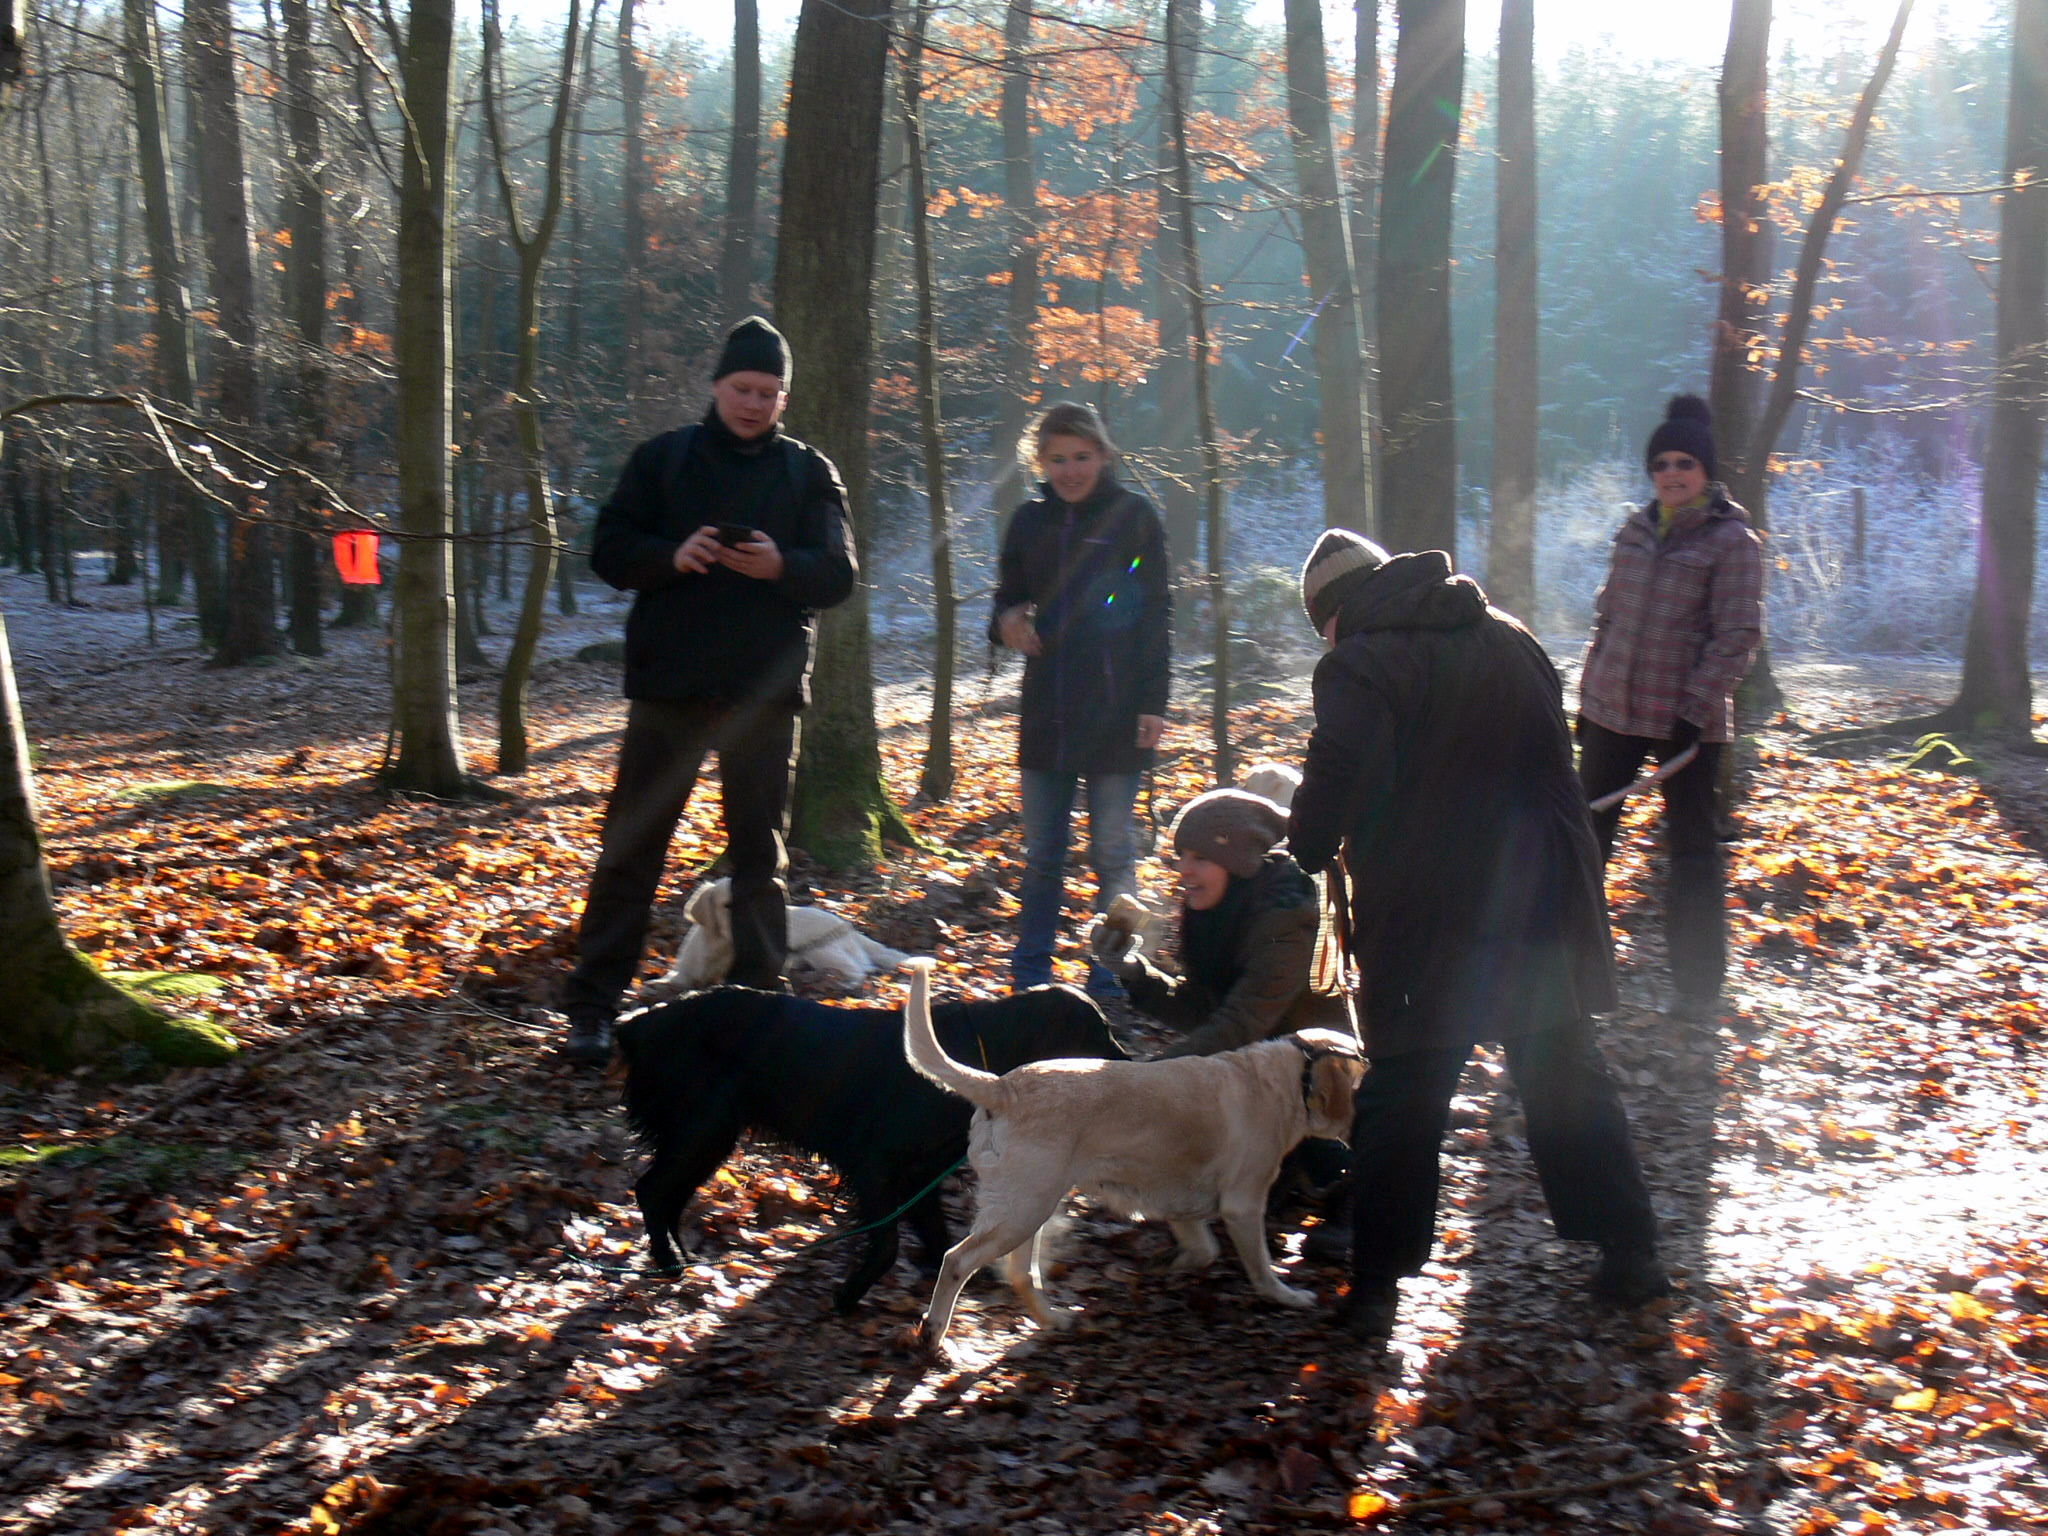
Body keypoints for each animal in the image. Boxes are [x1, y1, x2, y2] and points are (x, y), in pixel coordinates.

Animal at [610, 987, 1122, 1310]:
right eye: (1097, 1032)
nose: (1130, 1063)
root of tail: (639, 1023)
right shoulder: (876, 1165)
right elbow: (888, 1243)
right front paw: (850, 1294)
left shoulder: (918, 1175)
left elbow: (937, 1236)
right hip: (704, 1129)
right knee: (652, 1191)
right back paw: (669, 1263)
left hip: (707, 1137)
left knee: (667, 1195)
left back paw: (681, 1258)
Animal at [667, 884, 909, 991]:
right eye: (728, 905)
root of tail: (850, 928)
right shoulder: (683, 971)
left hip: (819, 950)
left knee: (859, 970)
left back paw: (842, 983)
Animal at [901, 962, 1359, 1359]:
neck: (1288, 1080)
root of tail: (1003, 1087)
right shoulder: (1243, 1206)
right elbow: (1261, 1268)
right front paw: (1287, 1296)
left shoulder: (1180, 1201)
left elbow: (1204, 1248)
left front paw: (1170, 1265)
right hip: (1023, 1211)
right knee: (956, 1261)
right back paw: (933, 1334)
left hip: (1029, 1212)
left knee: (1021, 1273)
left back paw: (1053, 1320)